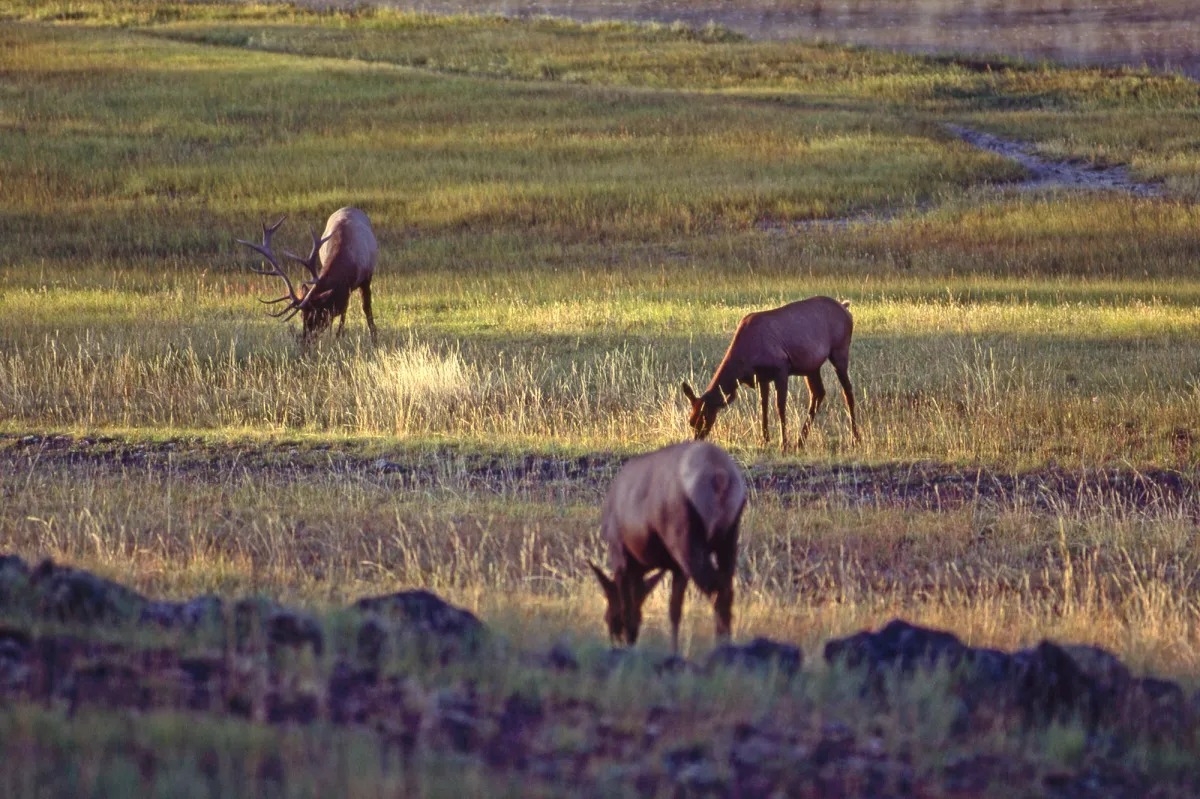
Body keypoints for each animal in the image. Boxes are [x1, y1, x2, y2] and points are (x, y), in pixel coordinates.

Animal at [237, 206, 378, 340]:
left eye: (318, 314)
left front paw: (373, 338)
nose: (305, 340)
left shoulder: (366, 277)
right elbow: (343, 310)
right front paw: (337, 336)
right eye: (302, 315)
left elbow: (365, 308)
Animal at [588, 440, 747, 654]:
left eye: (608, 617)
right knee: (726, 591)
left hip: (686, 543)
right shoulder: (676, 568)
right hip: (728, 541)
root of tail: (720, 476)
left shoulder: (619, 554)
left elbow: (629, 610)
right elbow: (673, 610)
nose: (614, 640)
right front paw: (673, 650)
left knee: (716, 589)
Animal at [681, 295, 860, 451]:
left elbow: (779, 406)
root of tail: (846, 308)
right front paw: (764, 439)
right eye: (691, 421)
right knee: (818, 393)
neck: (744, 362)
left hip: (839, 351)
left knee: (847, 391)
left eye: (704, 418)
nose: (697, 441)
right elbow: (763, 405)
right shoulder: (762, 377)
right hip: (811, 367)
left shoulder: (781, 368)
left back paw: (855, 439)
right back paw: (800, 441)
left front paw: (783, 444)